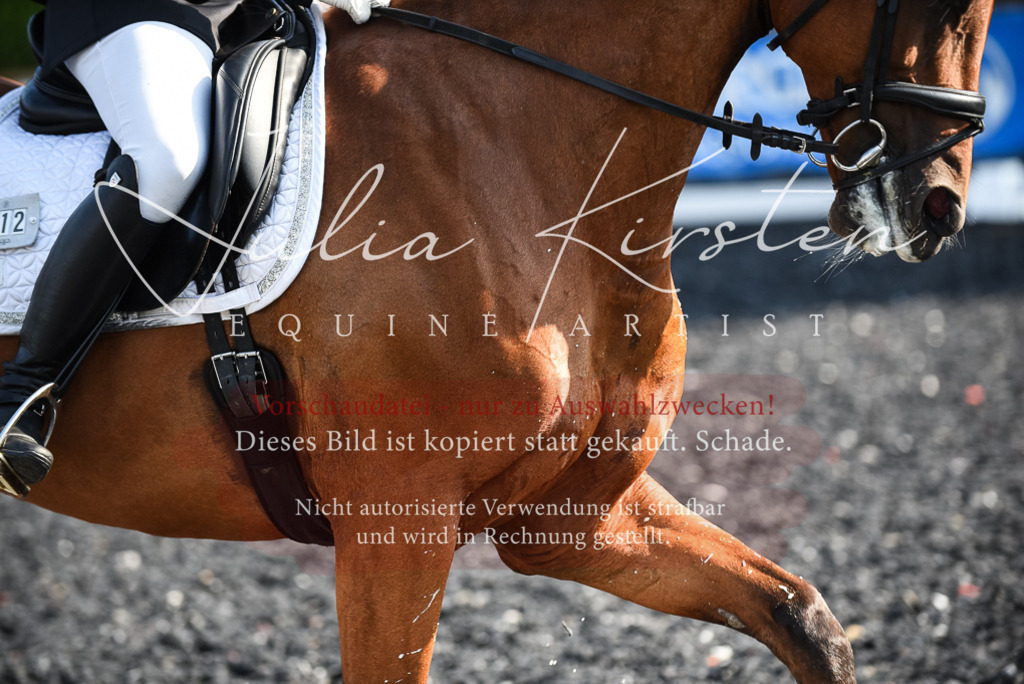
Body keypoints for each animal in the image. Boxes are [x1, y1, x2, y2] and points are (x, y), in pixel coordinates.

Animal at [0, 0, 992, 681]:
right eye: (939, 3)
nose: (937, 208)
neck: (518, 144)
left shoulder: (569, 514)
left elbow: (804, 618)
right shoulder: (397, 526)